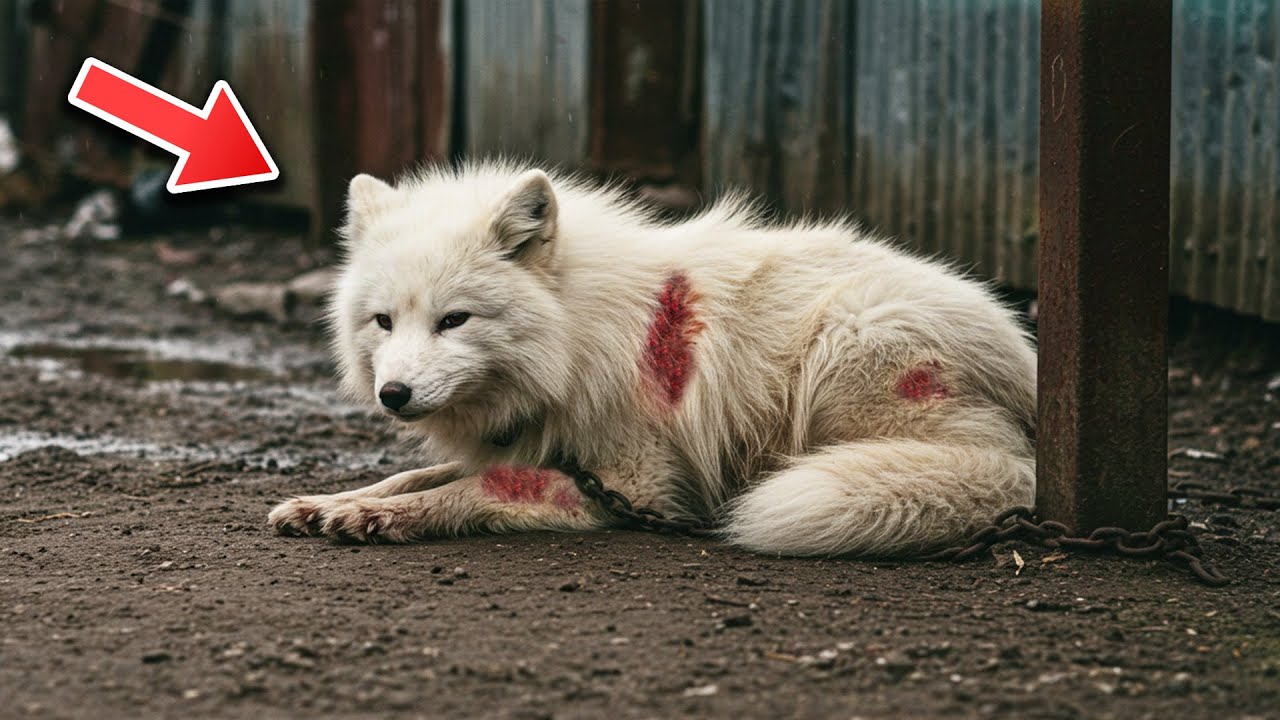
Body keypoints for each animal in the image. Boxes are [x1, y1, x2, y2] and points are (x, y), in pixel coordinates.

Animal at [268, 161, 1037, 556]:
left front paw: (381, 519)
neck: (575, 334)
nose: (393, 394)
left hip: (848, 339)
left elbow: (474, 488)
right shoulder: (538, 439)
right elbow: (415, 475)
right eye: (383, 322)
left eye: (454, 320)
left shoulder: (636, 485)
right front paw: (332, 502)